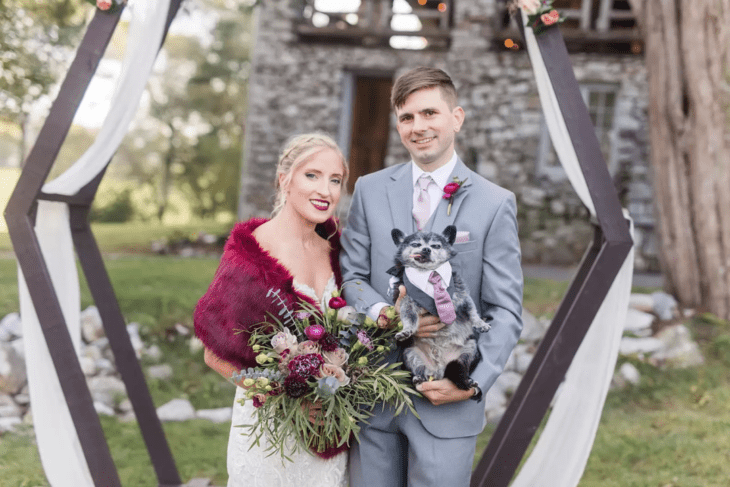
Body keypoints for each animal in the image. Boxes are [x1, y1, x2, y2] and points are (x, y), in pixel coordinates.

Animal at [386, 227, 490, 390]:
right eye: (416, 244)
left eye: (435, 246)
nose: (426, 249)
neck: (429, 274)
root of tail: (439, 370)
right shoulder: (406, 301)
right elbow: (409, 317)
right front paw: (407, 330)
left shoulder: (463, 297)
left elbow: (472, 311)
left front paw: (480, 323)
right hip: (410, 353)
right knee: (419, 369)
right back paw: (418, 378)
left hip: (470, 349)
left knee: (462, 367)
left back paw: (468, 380)